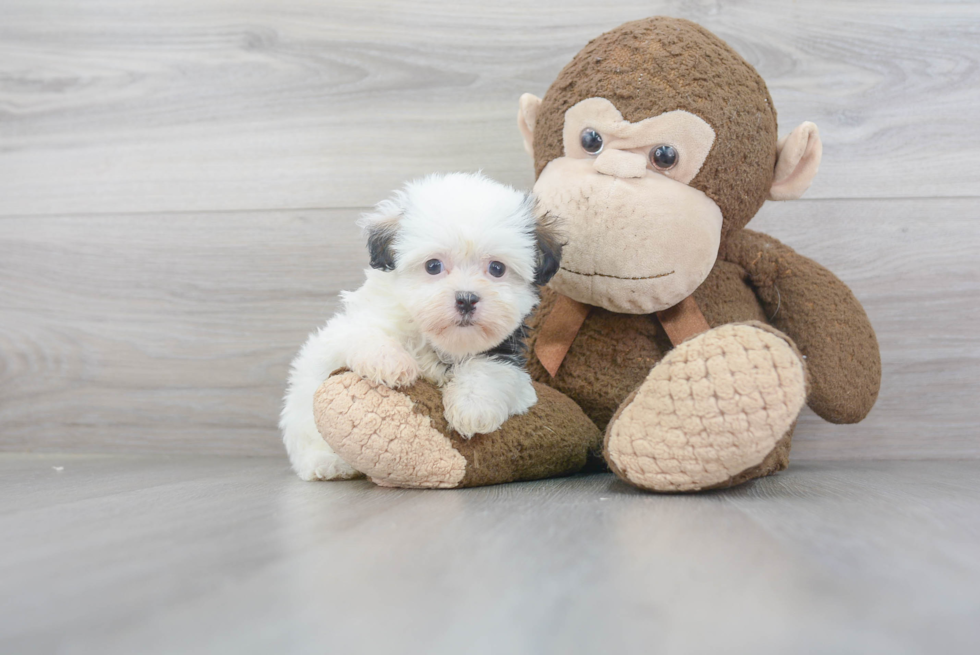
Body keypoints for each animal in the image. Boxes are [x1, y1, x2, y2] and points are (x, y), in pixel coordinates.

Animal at [280, 174, 564, 482]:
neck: (437, 340)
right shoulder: (353, 324)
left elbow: (491, 369)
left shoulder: (507, 351)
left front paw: (473, 406)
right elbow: (364, 331)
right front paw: (390, 362)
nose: (466, 299)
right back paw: (327, 464)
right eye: (433, 266)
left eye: (497, 269)